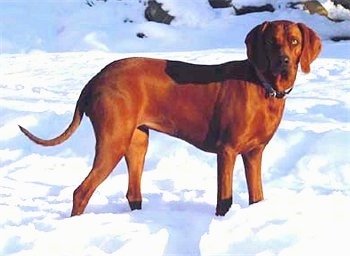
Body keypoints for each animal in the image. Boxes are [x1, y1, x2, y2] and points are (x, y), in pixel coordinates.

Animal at [18, 20, 320, 216]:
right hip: (113, 142)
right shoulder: (227, 151)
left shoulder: (254, 153)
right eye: (270, 42)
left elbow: (257, 197)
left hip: (137, 142)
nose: (283, 61)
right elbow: (224, 201)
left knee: (133, 193)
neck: (262, 85)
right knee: (81, 192)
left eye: (294, 42)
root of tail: (95, 79)